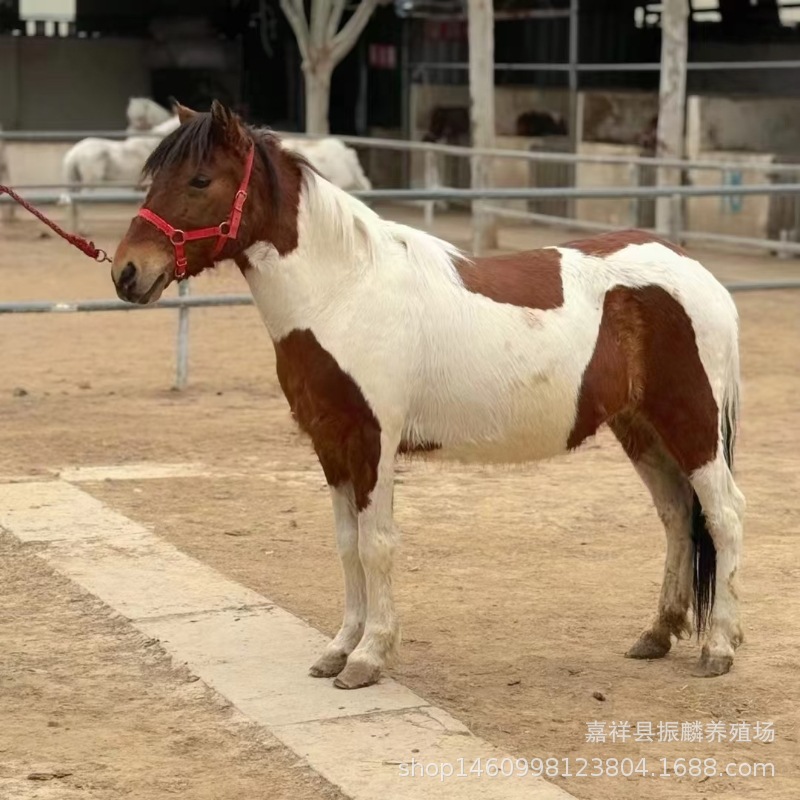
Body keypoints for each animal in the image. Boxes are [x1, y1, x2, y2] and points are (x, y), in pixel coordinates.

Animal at [111, 101, 745, 690]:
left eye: (199, 180)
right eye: (155, 177)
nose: (127, 272)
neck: (343, 291)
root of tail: (694, 269)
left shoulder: (373, 443)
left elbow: (377, 545)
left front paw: (368, 657)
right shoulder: (330, 446)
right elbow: (346, 544)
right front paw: (339, 648)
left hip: (691, 421)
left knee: (723, 515)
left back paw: (718, 648)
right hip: (641, 427)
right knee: (676, 515)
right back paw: (657, 633)